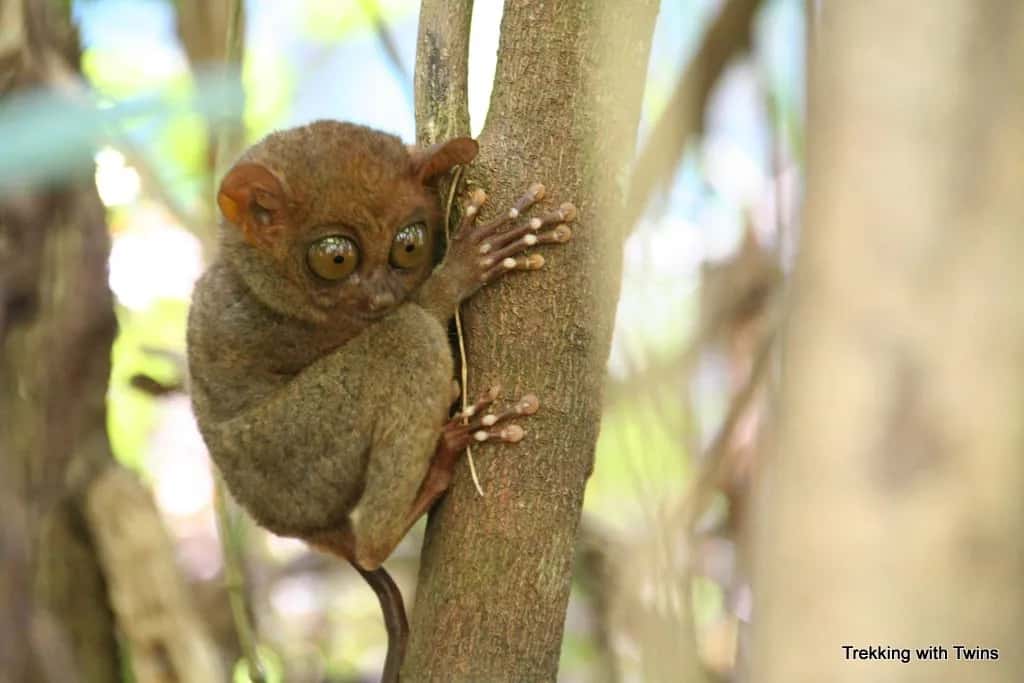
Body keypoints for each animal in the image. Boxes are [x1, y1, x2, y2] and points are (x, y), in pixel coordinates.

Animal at [186, 120, 576, 681]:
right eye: (336, 258)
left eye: (408, 246)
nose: (380, 295)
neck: (254, 276)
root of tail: (304, 530)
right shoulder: (293, 326)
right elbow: (417, 314)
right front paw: (462, 269)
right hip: (298, 450)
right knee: (406, 335)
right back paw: (436, 468)